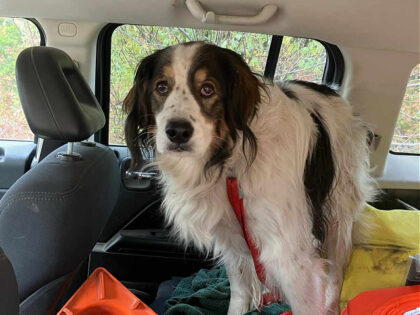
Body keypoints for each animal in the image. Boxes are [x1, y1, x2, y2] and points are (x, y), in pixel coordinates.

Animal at [122, 42, 374, 315]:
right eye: (161, 87)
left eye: (208, 89)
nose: (177, 132)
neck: (231, 163)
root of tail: (332, 91)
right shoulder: (233, 239)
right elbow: (240, 292)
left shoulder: (292, 257)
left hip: (339, 213)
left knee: (337, 270)